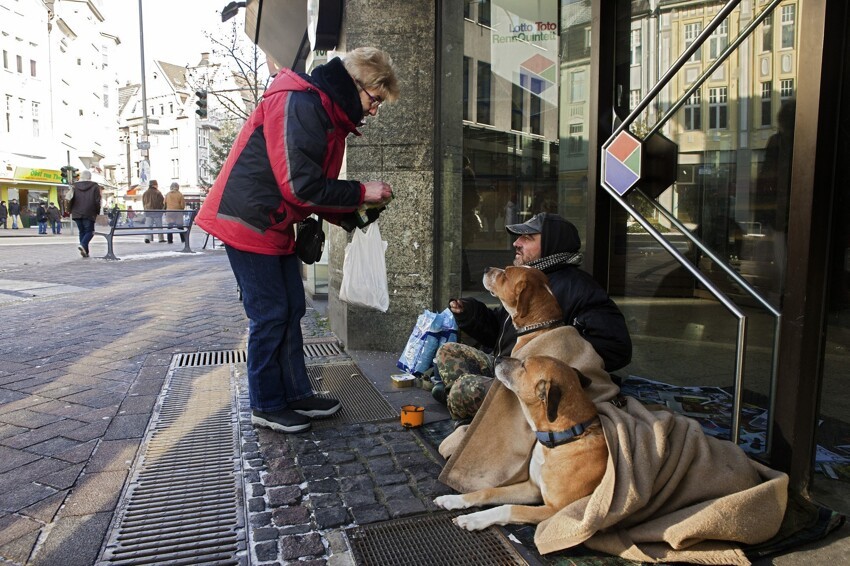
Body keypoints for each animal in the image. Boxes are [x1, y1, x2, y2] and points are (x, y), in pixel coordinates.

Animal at [434, 356, 608, 532]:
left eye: (524, 365)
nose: (498, 358)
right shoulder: (532, 488)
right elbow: (488, 491)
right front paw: (454, 499)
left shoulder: (554, 511)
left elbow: (508, 508)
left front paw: (473, 518)